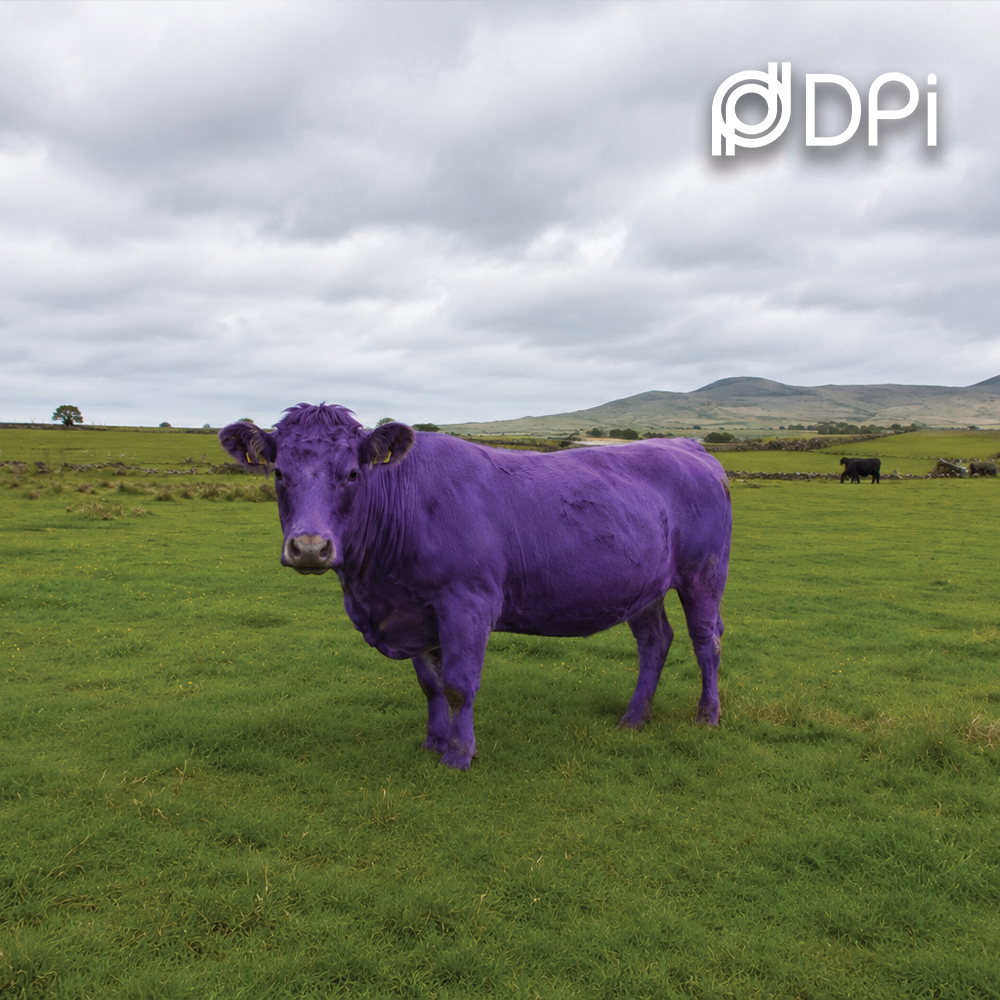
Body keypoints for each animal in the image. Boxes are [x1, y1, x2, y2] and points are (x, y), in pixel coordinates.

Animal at [220, 404, 732, 770]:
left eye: (351, 473)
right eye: (279, 473)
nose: (310, 547)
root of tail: (688, 446)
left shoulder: (465, 605)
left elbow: (459, 685)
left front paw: (458, 753)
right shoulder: (418, 611)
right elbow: (430, 684)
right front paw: (432, 741)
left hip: (703, 574)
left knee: (705, 642)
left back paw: (707, 716)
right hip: (643, 587)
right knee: (655, 643)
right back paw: (634, 719)